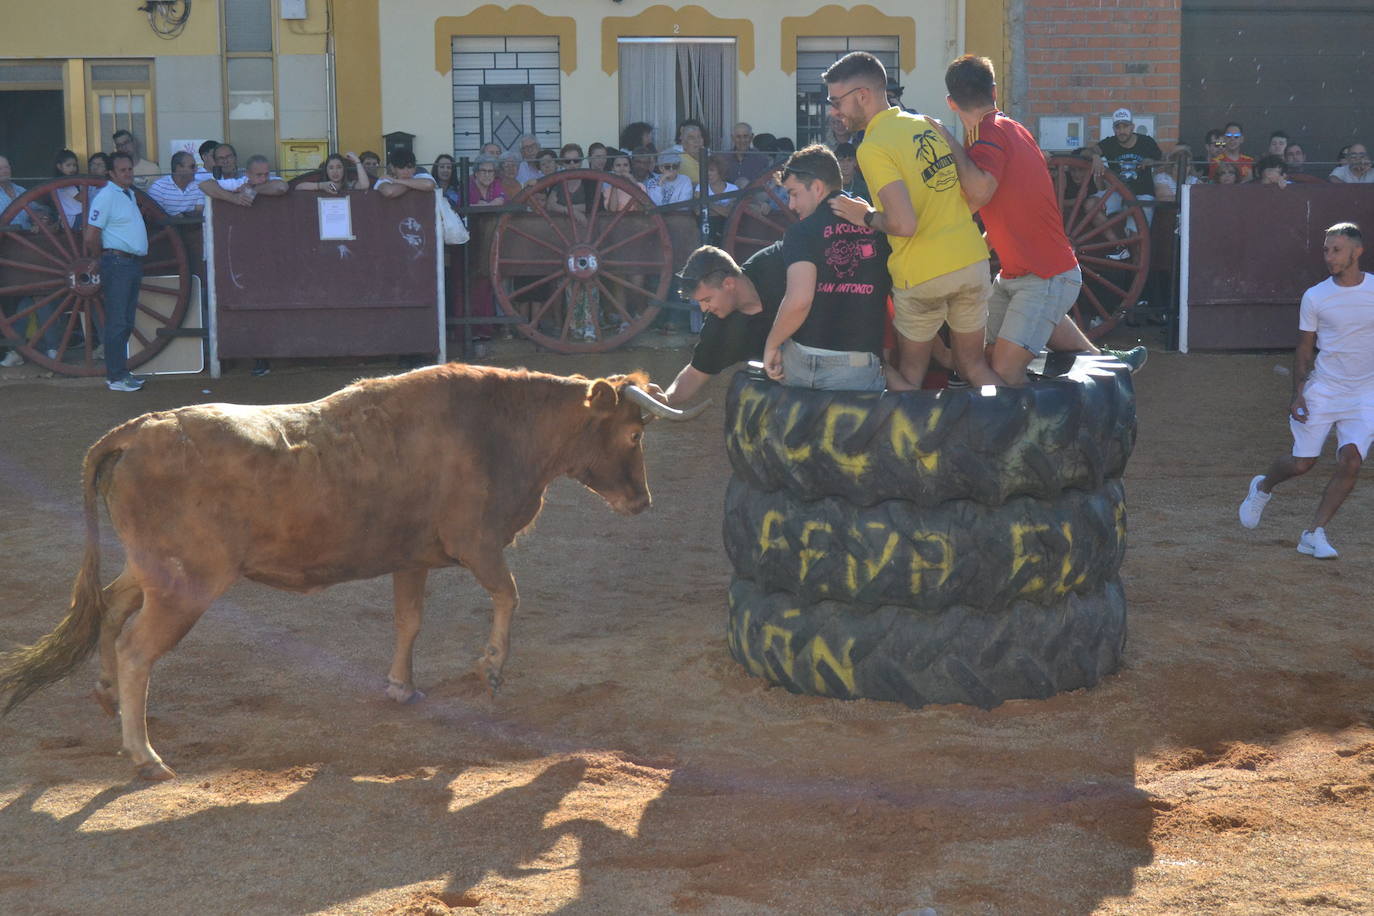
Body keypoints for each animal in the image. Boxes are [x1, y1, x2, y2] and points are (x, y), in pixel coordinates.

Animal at [0, 365, 692, 780]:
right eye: (634, 434)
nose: (644, 501)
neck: (500, 427)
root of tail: (139, 430)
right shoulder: (476, 542)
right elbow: (509, 594)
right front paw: (491, 667)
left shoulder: (413, 558)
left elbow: (410, 620)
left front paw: (401, 686)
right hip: (187, 584)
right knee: (137, 646)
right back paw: (144, 755)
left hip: (154, 569)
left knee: (111, 608)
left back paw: (109, 699)